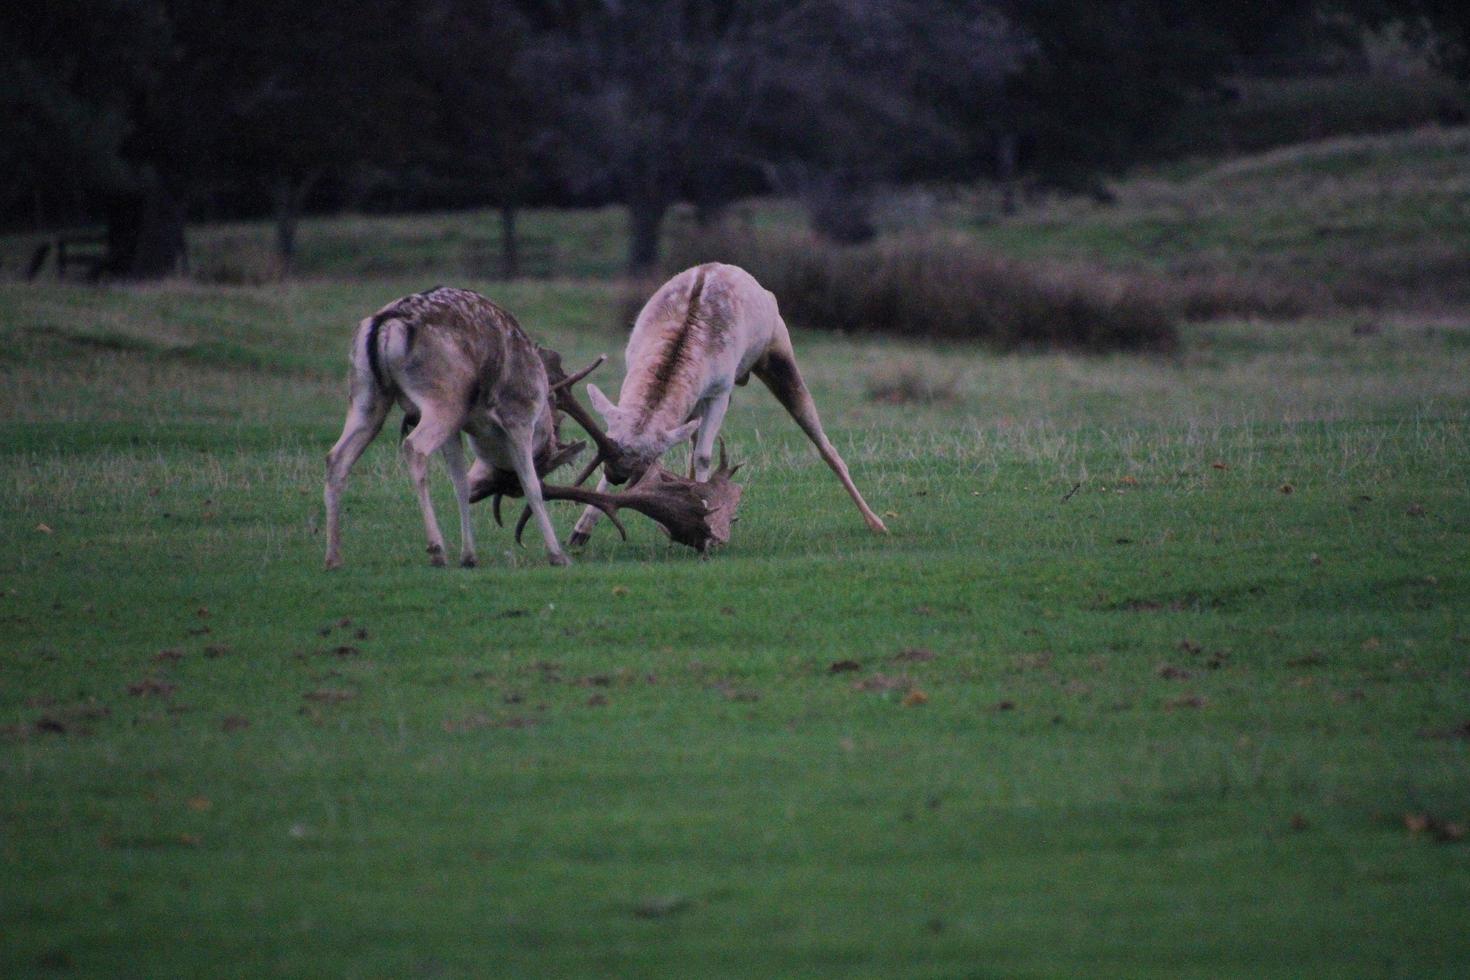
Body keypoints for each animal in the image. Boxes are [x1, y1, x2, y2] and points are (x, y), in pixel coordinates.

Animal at [324, 287, 593, 570]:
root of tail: (386, 324)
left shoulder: (457, 429)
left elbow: (460, 483)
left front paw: (469, 556)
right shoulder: (517, 416)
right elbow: (532, 486)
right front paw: (557, 555)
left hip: (366, 395)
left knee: (336, 456)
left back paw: (334, 557)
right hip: (444, 399)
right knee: (414, 446)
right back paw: (436, 550)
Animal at [564, 260, 882, 549]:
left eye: (648, 459)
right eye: (609, 445)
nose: (617, 476)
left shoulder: (720, 390)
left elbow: (704, 456)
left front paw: (706, 529)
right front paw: (580, 531)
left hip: (779, 354)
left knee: (823, 442)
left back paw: (876, 521)